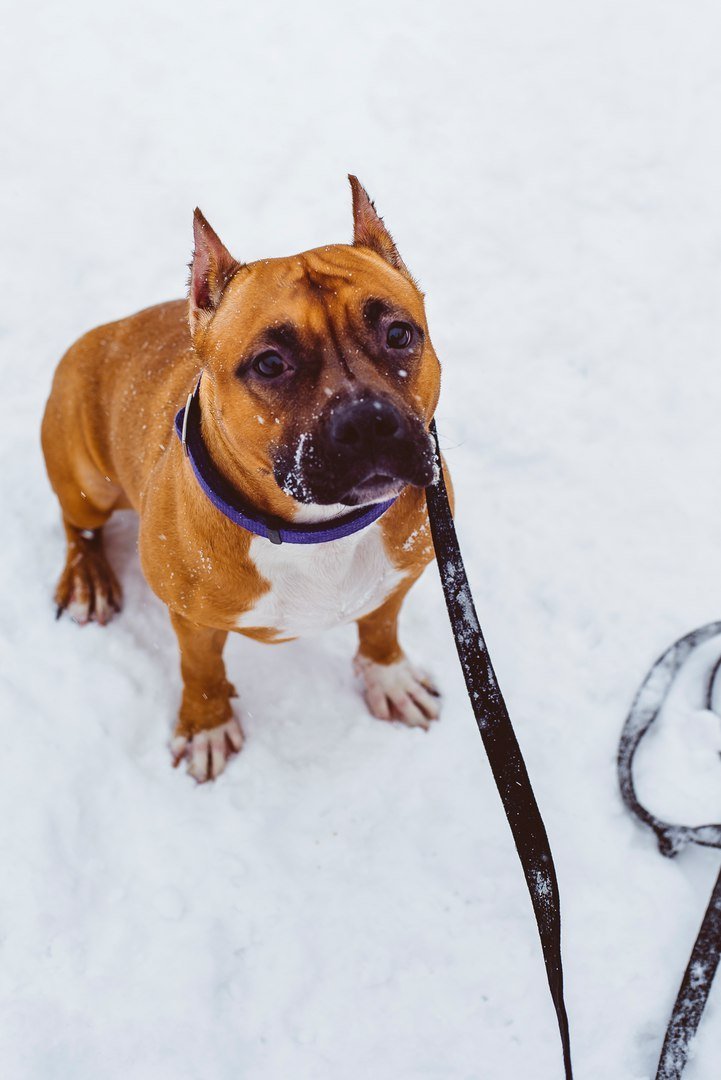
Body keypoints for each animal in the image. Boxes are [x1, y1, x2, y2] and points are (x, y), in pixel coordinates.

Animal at [42, 179, 451, 786]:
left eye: (399, 333)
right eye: (269, 364)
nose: (367, 420)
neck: (319, 531)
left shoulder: (400, 576)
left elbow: (381, 626)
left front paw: (388, 677)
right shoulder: (190, 618)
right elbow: (200, 666)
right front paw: (206, 724)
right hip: (86, 476)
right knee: (79, 524)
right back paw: (88, 579)